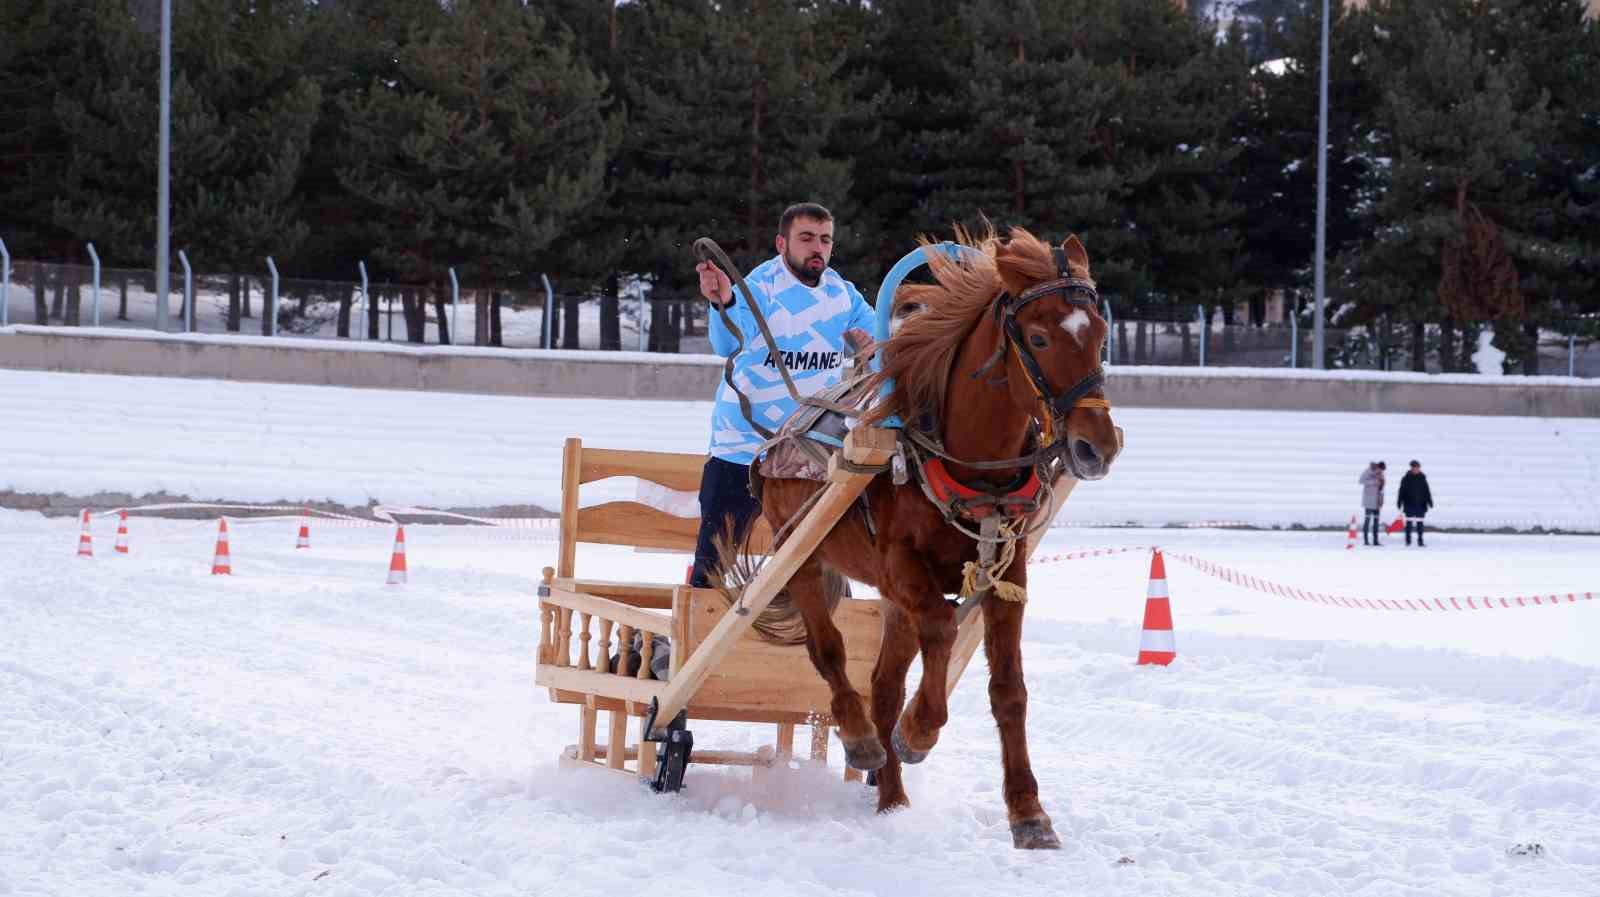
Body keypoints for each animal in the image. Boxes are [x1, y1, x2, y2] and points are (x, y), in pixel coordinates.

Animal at [742, 227, 1120, 850]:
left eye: (1101, 335)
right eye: (1038, 337)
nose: (1098, 447)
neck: (969, 462)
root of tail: (783, 430)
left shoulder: (1008, 574)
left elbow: (1009, 689)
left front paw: (1029, 812)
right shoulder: (901, 565)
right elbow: (941, 629)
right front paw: (918, 731)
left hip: (890, 598)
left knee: (884, 685)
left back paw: (892, 798)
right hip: (801, 552)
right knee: (830, 650)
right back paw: (863, 738)